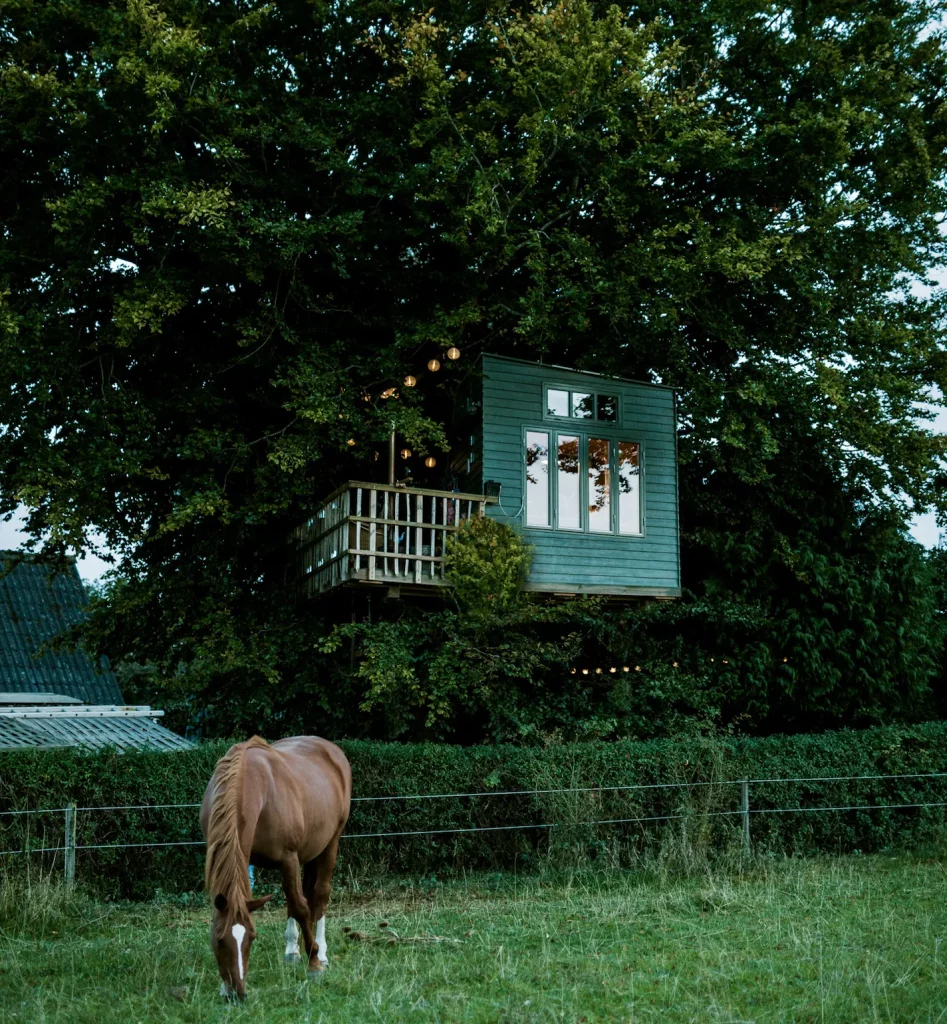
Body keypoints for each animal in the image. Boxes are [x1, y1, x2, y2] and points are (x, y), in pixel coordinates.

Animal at [199, 737, 350, 999]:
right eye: (218, 940)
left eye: (252, 937)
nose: (236, 993)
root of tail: (329, 747)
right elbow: (295, 903)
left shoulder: (288, 857)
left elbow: (301, 907)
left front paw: (314, 964)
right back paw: (292, 950)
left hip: (331, 843)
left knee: (318, 895)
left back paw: (321, 952)